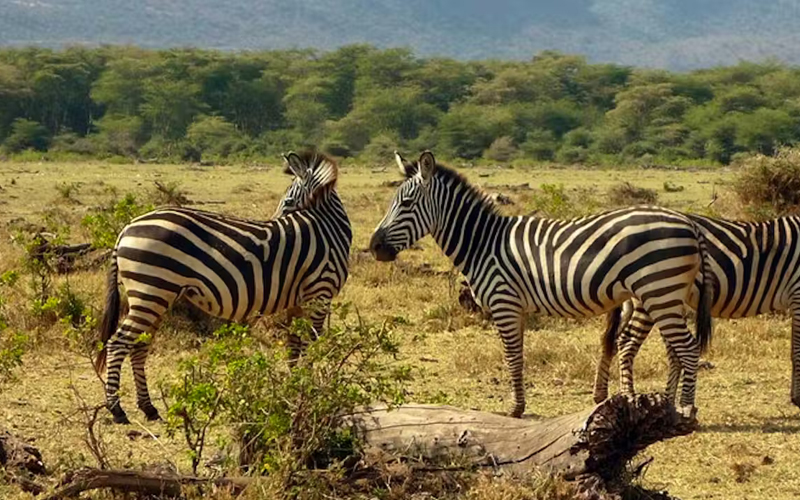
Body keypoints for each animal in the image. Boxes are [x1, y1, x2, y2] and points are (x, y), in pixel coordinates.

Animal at [370, 149, 712, 418]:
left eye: (407, 204)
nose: (374, 247)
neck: (484, 242)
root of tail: (689, 223)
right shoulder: (516, 308)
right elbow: (518, 356)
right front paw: (519, 405)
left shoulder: (504, 303)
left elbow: (512, 357)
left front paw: (514, 409)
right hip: (666, 295)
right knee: (677, 349)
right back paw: (669, 406)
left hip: (659, 292)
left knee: (689, 348)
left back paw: (687, 409)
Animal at [592, 213, 800, 408]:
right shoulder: (797, 293)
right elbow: (797, 350)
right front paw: (797, 398)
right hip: (653, 297)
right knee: (628, 342)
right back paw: (633, 397)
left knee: (612, 340)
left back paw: (602, 394)